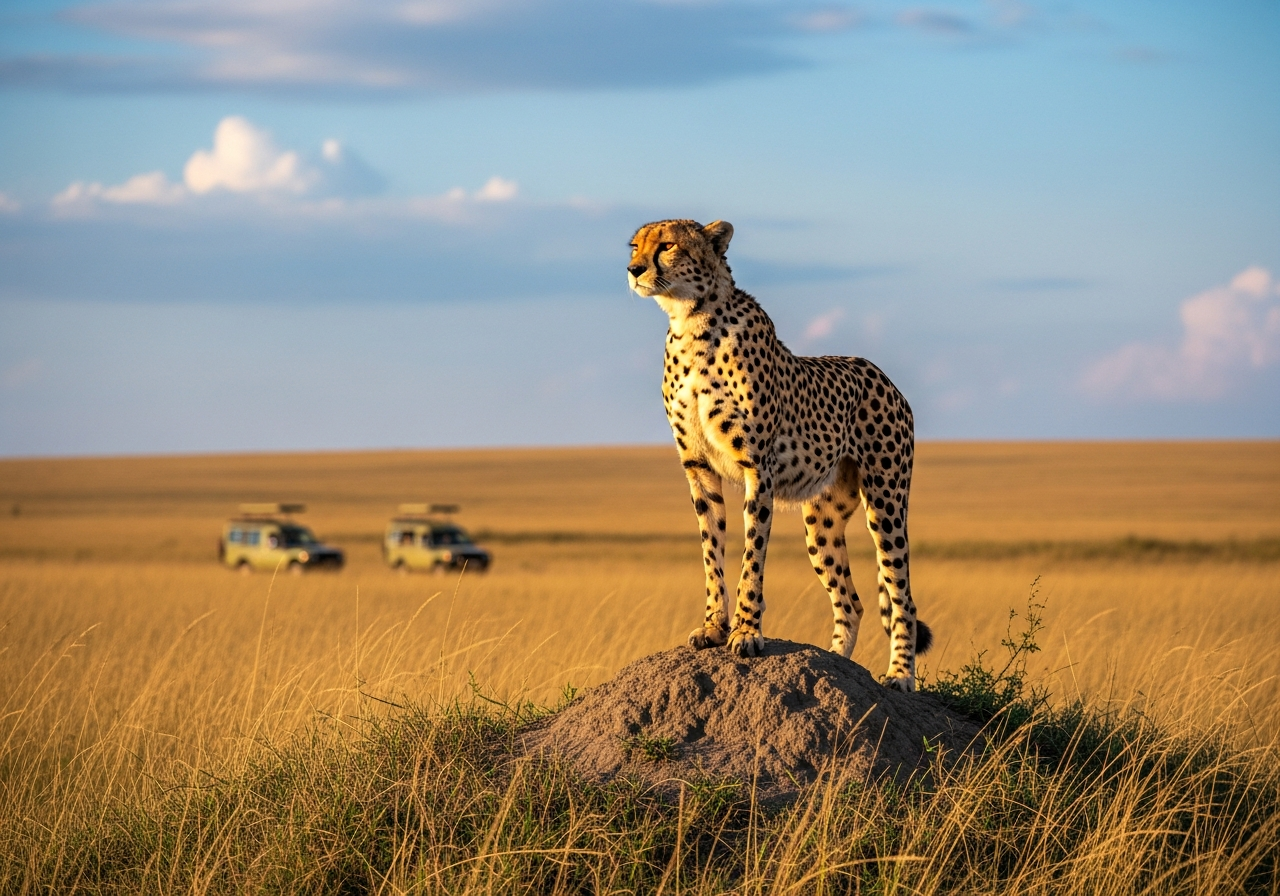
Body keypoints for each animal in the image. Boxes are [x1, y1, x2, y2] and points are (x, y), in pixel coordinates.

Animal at [628, 218, 932, 692]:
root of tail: (882, 374)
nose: (634, 269)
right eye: (635, 245)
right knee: (851, 601)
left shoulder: (758, 468)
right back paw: (834, 664)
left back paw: (899, 675)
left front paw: (746, 632)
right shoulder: (698, 468)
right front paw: (713, 625)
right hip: (821, 523)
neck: (691, 323)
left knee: (902, 596)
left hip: (886, 500)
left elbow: (752, 556)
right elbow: (711, 552)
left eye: (668, 245)